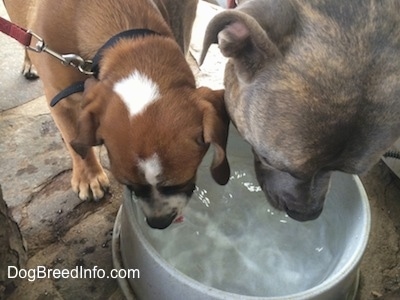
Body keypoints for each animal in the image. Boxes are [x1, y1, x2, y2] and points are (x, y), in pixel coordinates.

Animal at [3, 0, 230, 229]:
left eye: (180, 183)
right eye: (129, 185)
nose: (158, 222)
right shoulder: (60, 101)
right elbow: (74, 141)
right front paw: (88, 175)